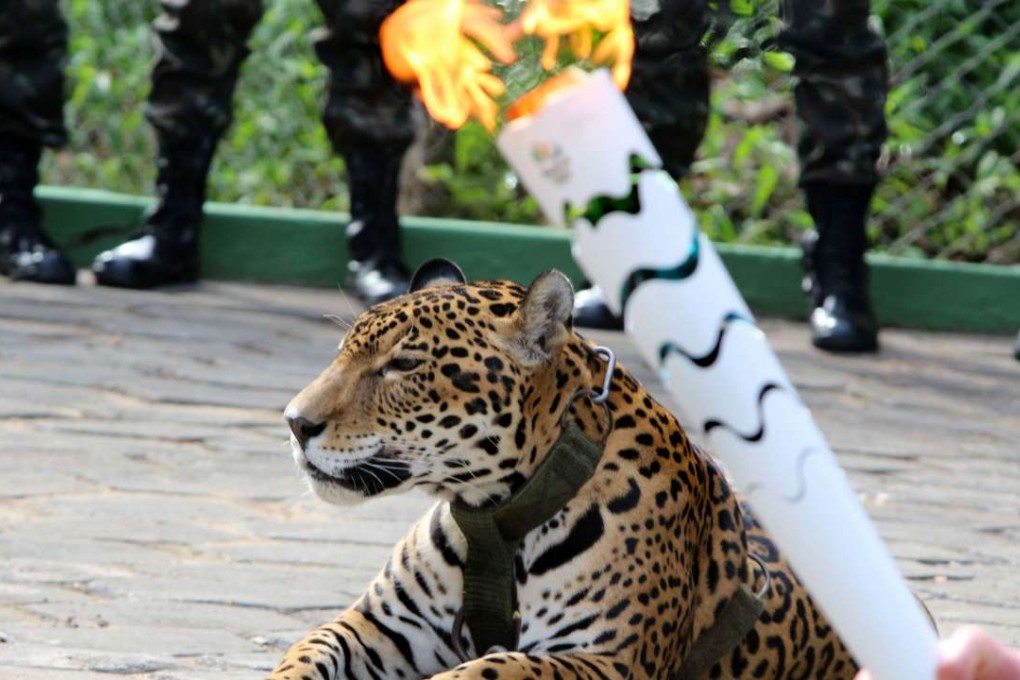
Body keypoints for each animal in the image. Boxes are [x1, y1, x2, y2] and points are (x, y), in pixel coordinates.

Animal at [269, 259, 859, 680]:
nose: (295, 423)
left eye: (404, 365)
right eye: (343, 351)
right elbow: (306, 651)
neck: (496, 515)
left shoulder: (606, 660)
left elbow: (489, 668)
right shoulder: (383, 625)